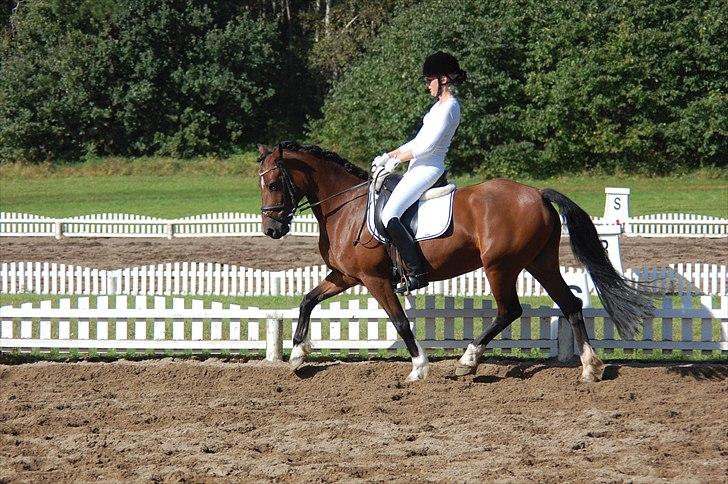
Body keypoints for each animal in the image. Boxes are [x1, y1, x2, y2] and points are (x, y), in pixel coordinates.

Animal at [258, 141, 656, 382]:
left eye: (275, 184)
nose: (272, 229)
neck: (346, 208)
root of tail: (537, 194)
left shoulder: (375, 280)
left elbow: (400, 322)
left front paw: (419, 368)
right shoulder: (345, 276)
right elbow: (307, 300)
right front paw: (297, 355)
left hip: (500, 267)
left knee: (509, 310)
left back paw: (468, 361)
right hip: (539, 262)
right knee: (570, 303)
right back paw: (589, 368)